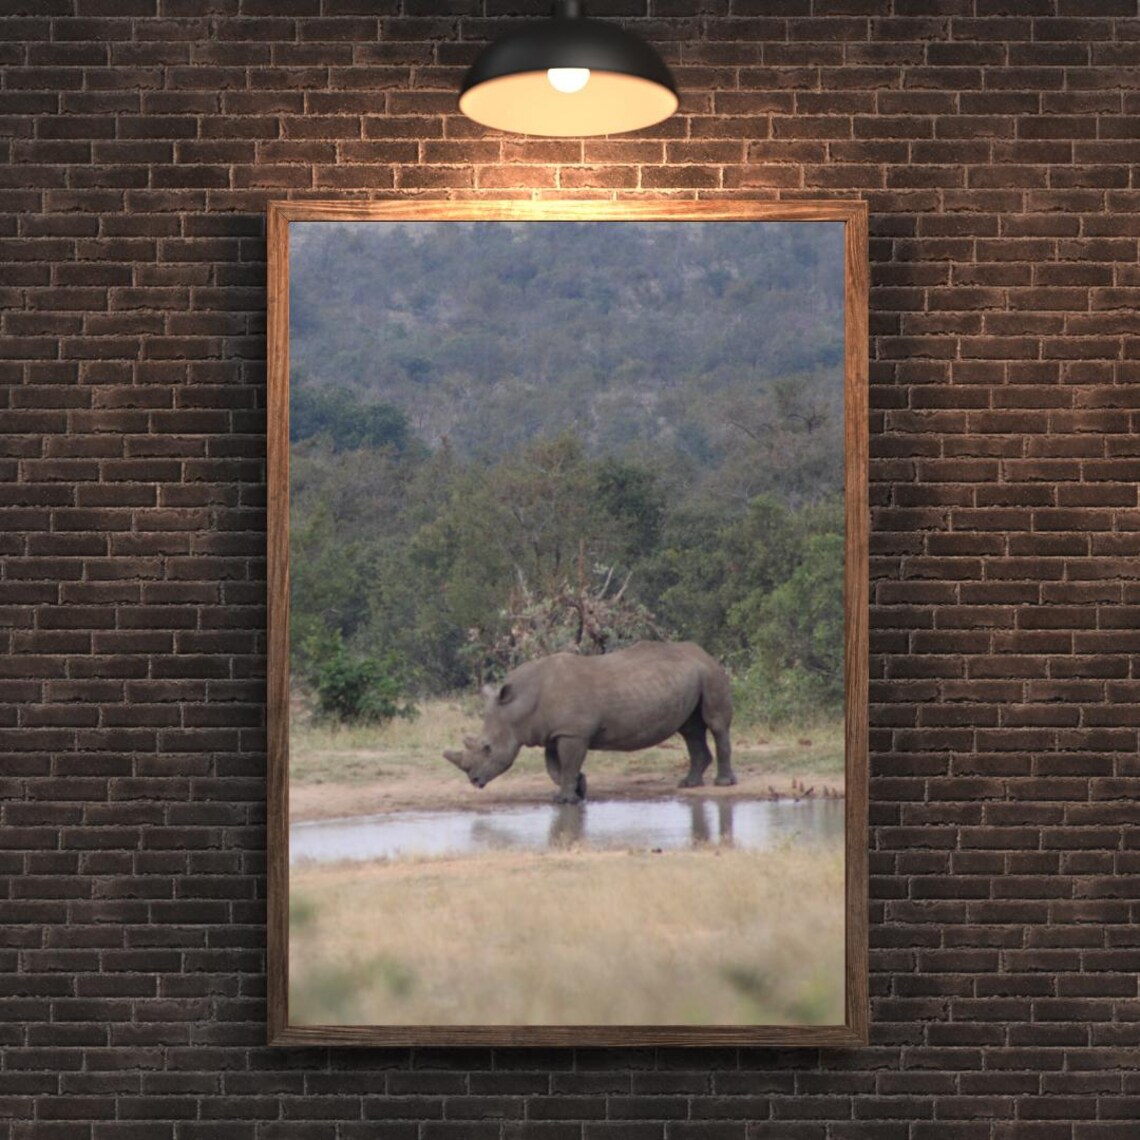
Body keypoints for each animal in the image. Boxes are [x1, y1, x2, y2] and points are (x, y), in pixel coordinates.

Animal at [443, 641, 735, 804]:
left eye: (488, 748)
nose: (474, 780)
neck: (520, 705)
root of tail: (704, 652)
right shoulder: (555, 733)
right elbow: (555, 768)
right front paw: (579, 788)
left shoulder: (573, 733)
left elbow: (568, 764)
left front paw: (565, 800)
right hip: (692, 676)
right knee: (690, 729)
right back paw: (689, 784)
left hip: (711, 672)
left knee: (715, 723)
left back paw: (723, 784)